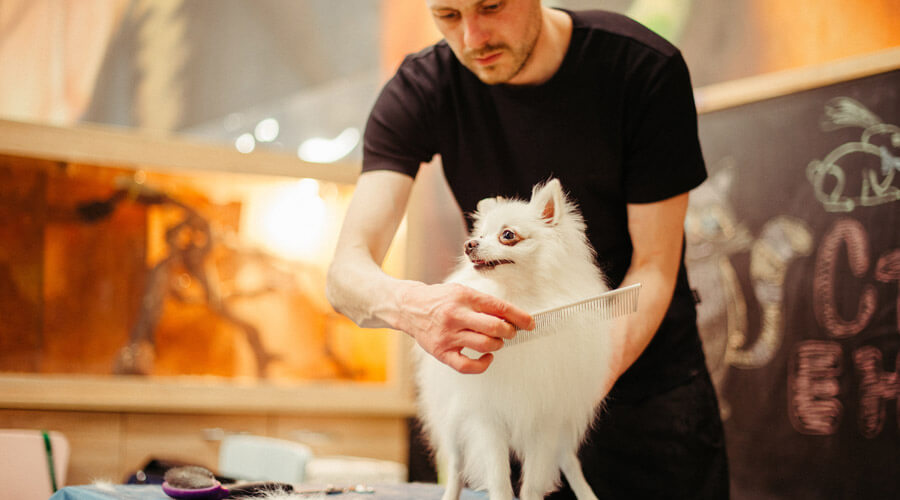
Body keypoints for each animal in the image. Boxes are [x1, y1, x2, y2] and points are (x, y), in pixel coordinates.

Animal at [414, 180, 612, 500]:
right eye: (479, 235)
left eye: (508, 235)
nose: (469, 245)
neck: (519, 299)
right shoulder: (487, 418)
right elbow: (499, 478)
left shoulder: (546, 421)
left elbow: (532, 483)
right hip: (453, 421)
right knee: (455, 466)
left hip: (563, 433)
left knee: (570, 463)